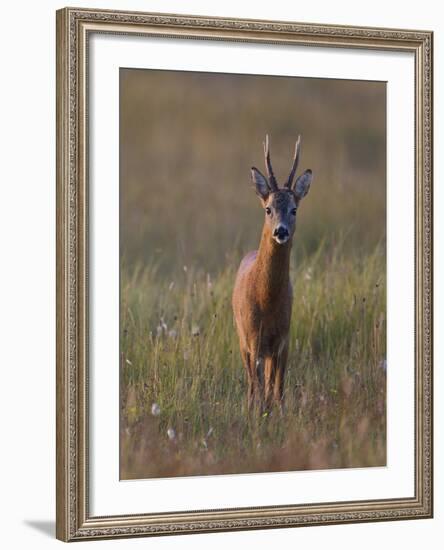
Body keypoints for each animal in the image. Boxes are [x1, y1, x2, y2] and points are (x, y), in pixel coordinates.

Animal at [232, 137, 312, 414]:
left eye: (294, 209)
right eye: (268, 209)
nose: (281, 231)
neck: (266, 300)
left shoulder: (283, 338)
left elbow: (277, 389)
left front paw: (278, 414)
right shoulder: (253, 337)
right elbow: (257, 389)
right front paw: (256, 415)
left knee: (268, 384)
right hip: (242, 338)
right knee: (252, 385)